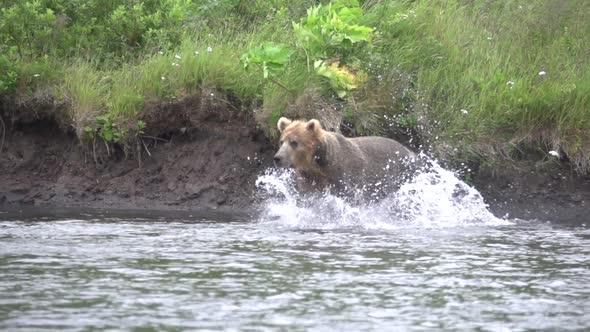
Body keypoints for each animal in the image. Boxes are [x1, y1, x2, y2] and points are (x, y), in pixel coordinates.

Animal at [274, 116, 418, 197]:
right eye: (281, 141)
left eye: (294, 142)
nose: (278, 158)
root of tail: (411, 152)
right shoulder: (309, 177)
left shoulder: (342, 173)